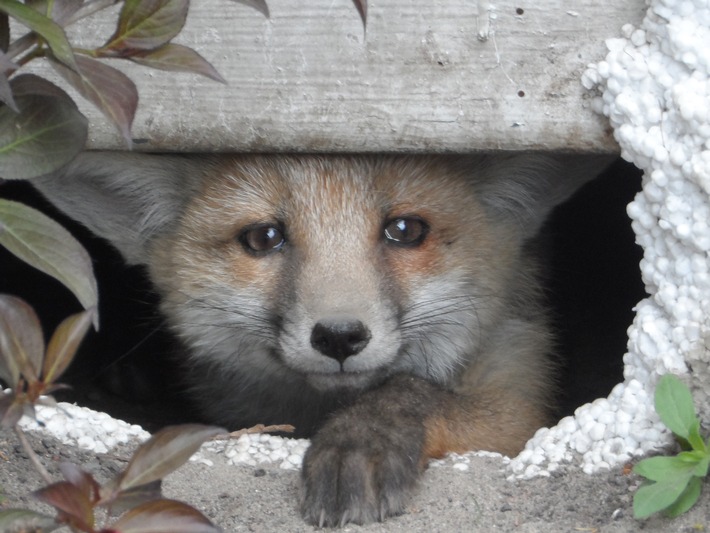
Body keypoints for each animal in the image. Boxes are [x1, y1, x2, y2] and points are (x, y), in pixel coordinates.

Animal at [32, 152, 612, 524]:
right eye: (263, 237)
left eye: (406, 230)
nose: (339, 337)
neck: (315, 412)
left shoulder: (518, 394)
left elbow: (412, 391)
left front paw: (363, 436)